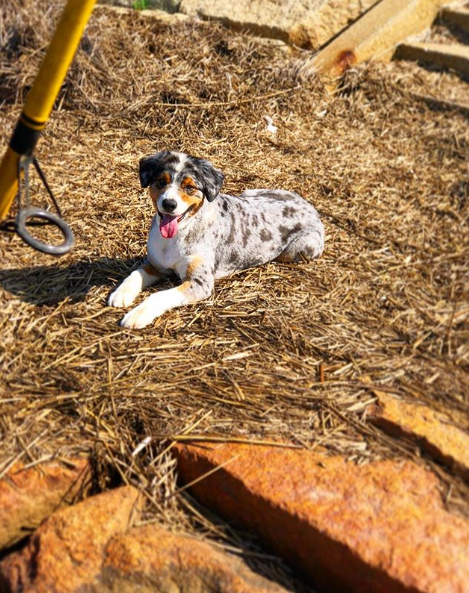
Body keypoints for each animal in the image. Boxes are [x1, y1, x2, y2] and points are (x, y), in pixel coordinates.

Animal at [108, 150, 324, 328]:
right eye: (161, 181)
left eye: (189, 187)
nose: (169, 204)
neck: (177, 235)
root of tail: (310, 207)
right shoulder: (155, 264)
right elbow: (134, 274)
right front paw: (120, 294)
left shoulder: (200, 282)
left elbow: (159, 295)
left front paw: (137, 315)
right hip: (250, 192)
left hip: (297, 249)